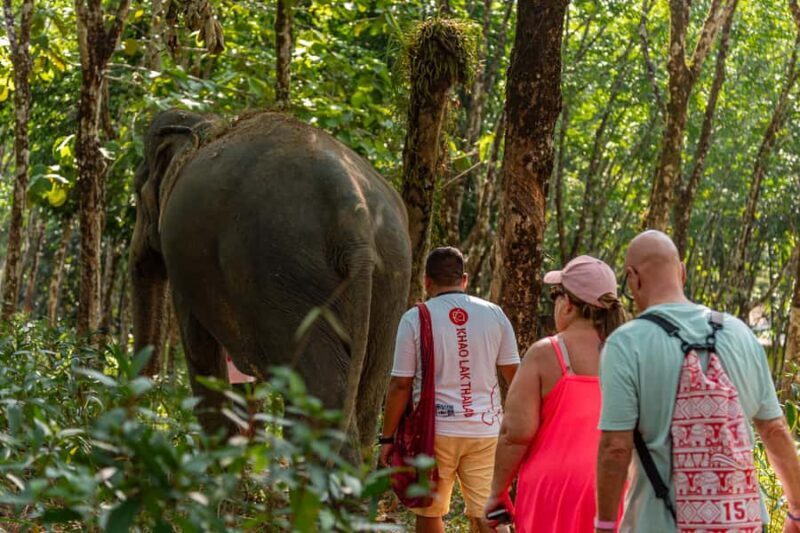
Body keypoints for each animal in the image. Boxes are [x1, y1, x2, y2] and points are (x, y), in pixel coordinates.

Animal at [130, 108, 412, 461]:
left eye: (136, 190)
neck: (206, 123)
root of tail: (353, 212)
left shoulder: (183, 257)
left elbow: (199, 349)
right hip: (390, 276)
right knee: (367, 389)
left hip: (288, 274)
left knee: (318, 393)